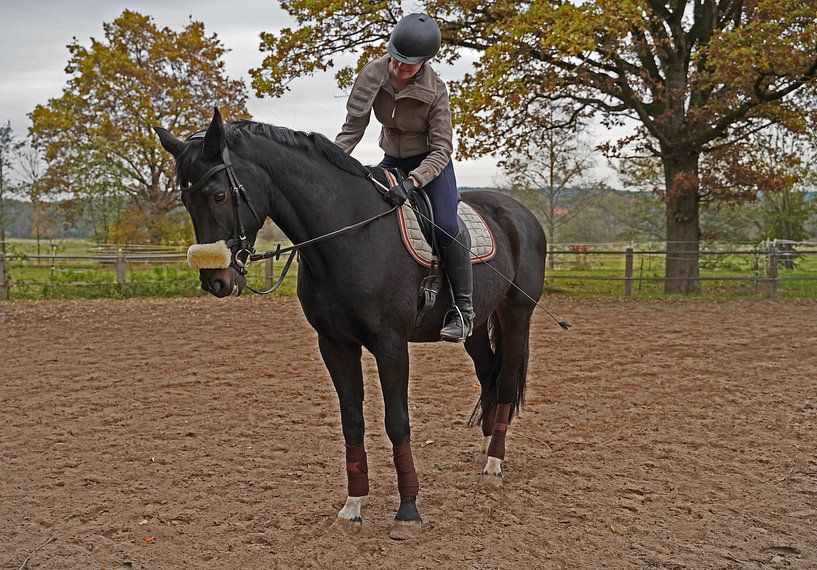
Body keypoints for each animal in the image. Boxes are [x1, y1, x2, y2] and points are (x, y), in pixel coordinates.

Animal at [154, 108, 547, 540]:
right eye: (186, 200)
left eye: (219, 195)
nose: (216, 281)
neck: (349, 234)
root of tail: (519, 213)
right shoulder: (335, 344)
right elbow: (352, 422)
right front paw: (353, 506)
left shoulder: (391, 345)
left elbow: (397, 423)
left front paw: (407, 511)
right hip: (475, 327)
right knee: (487, 373)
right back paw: (487, 445)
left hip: (516, 315)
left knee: (505, 380)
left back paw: (494, 463)